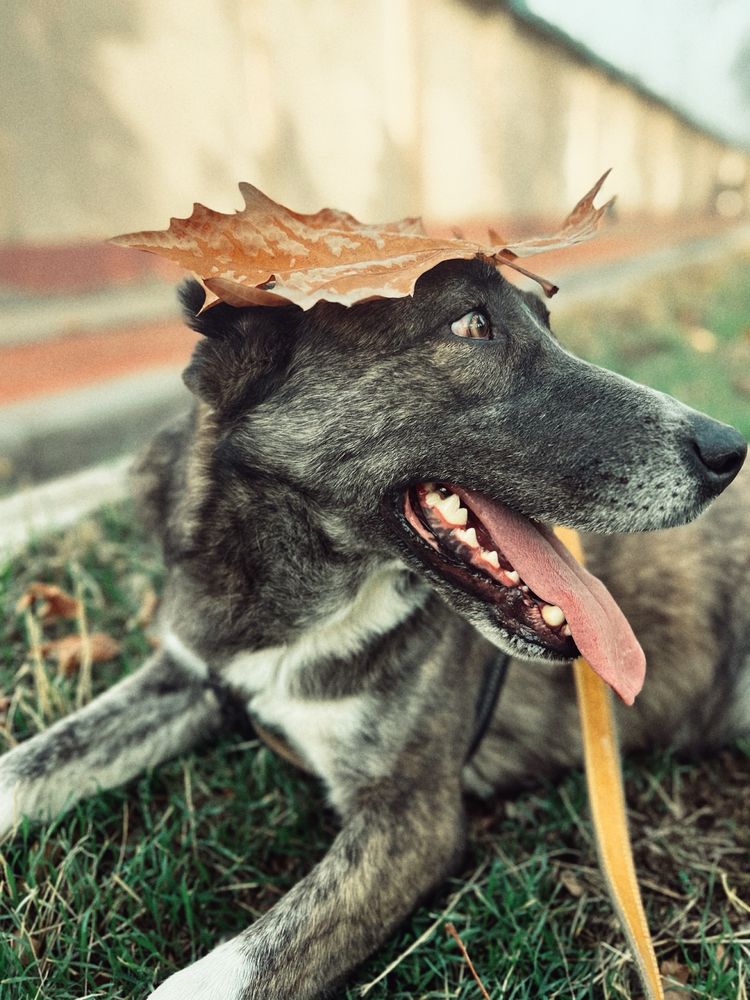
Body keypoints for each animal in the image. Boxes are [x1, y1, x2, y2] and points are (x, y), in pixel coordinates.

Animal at [0, 260, 748, 1000]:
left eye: (547, 321)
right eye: (472, 324)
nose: (729, 450)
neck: (305, 603)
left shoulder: (409, 820)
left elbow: (212, 981)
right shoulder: (192, 669)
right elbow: (23, 769)